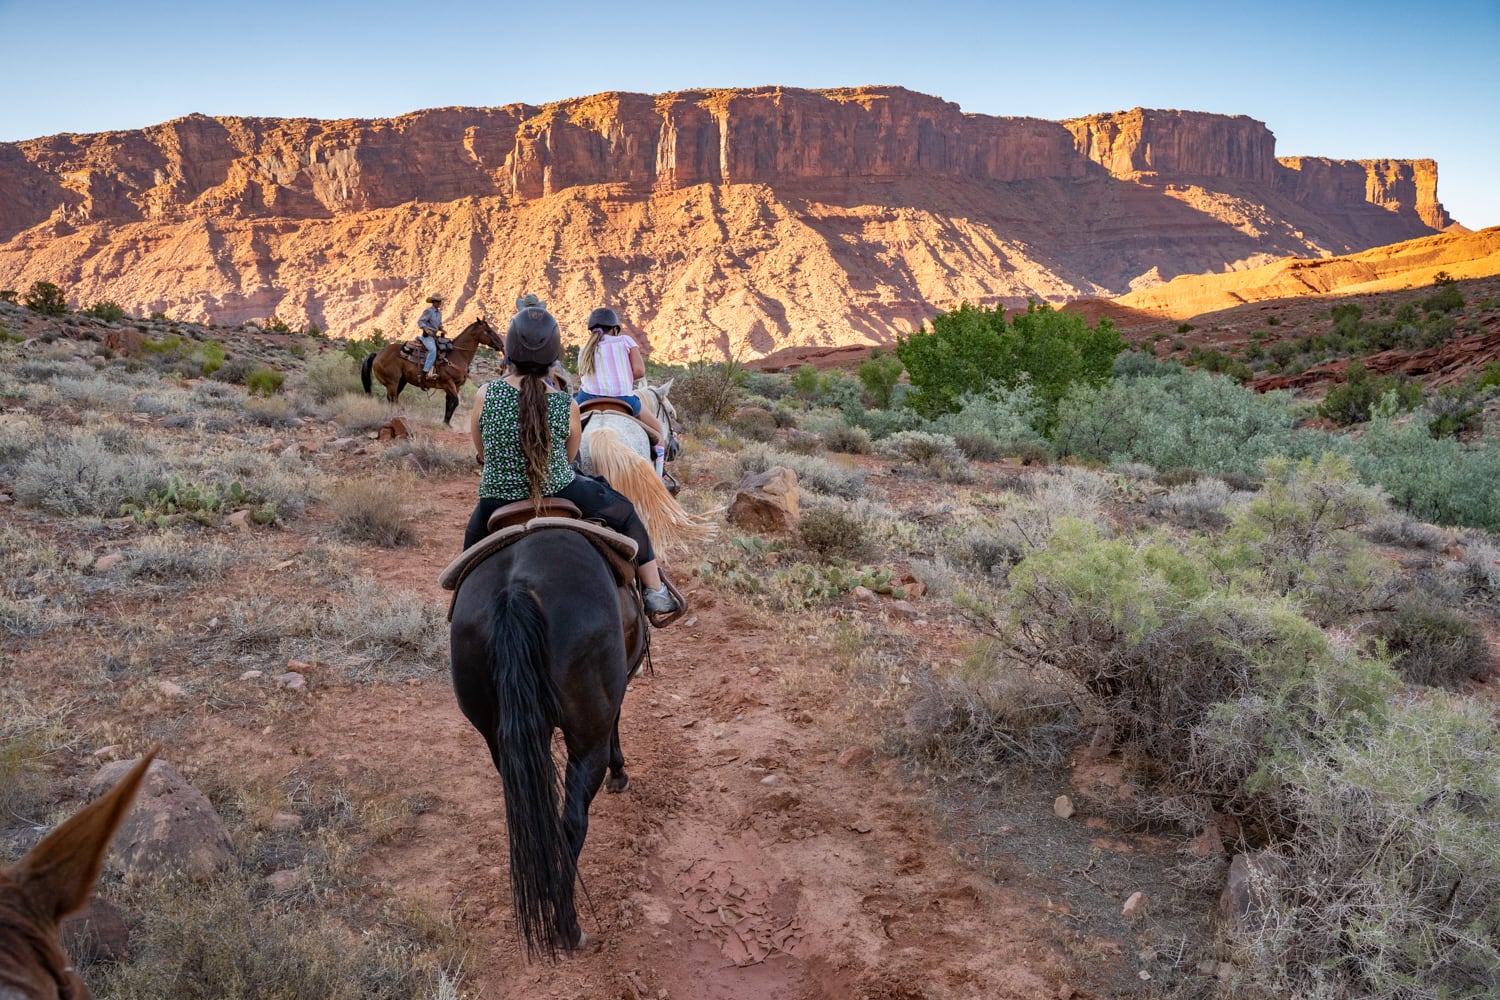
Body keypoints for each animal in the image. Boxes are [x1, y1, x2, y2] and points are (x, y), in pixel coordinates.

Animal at [360, 316, 504, 425]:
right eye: (488, 331)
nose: (501, 345)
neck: (457, 355)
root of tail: (378, 354)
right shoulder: (448, 383)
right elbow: (455, 402)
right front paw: (446, 422)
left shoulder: (456, 386)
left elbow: (450, 403)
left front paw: (446, 423)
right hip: (392, 382)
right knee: (392, 398)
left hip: (401, 381)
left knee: (393, 399)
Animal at [448, 528, 644, 959]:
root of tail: (516, 590)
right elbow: (617, 719)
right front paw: (620, 772)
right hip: (586, 739)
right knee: (570, 820)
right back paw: (567, 928)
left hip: (498, 739)